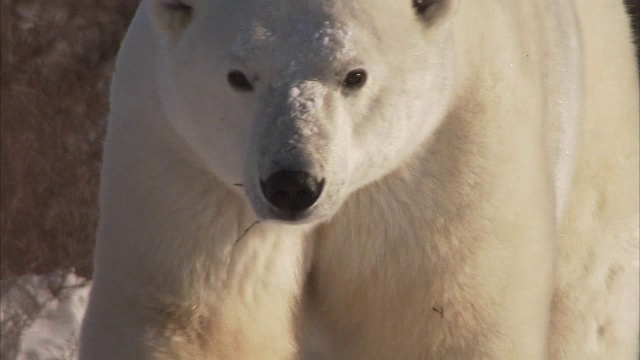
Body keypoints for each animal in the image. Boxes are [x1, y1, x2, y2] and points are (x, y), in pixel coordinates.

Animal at [80, 0, 640, 358]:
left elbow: (438, 318)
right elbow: (195, 320)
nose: (293, 184)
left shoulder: (449, 151)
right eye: (238, 77)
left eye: (354, 75)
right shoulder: (186, 164)